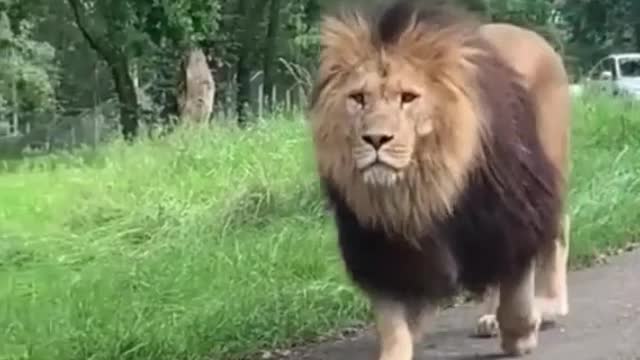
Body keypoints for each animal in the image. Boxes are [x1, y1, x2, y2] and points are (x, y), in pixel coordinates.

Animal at [308, 1, 572, 358]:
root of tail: (533, 37)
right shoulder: (382, 245)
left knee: (557, 233)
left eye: (408, 97)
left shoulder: (513, 213)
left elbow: (516, 293)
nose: (375, 139)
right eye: (359, 98)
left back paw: (548, 307)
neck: (422, 185)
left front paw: (522, 333)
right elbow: (392, 320)